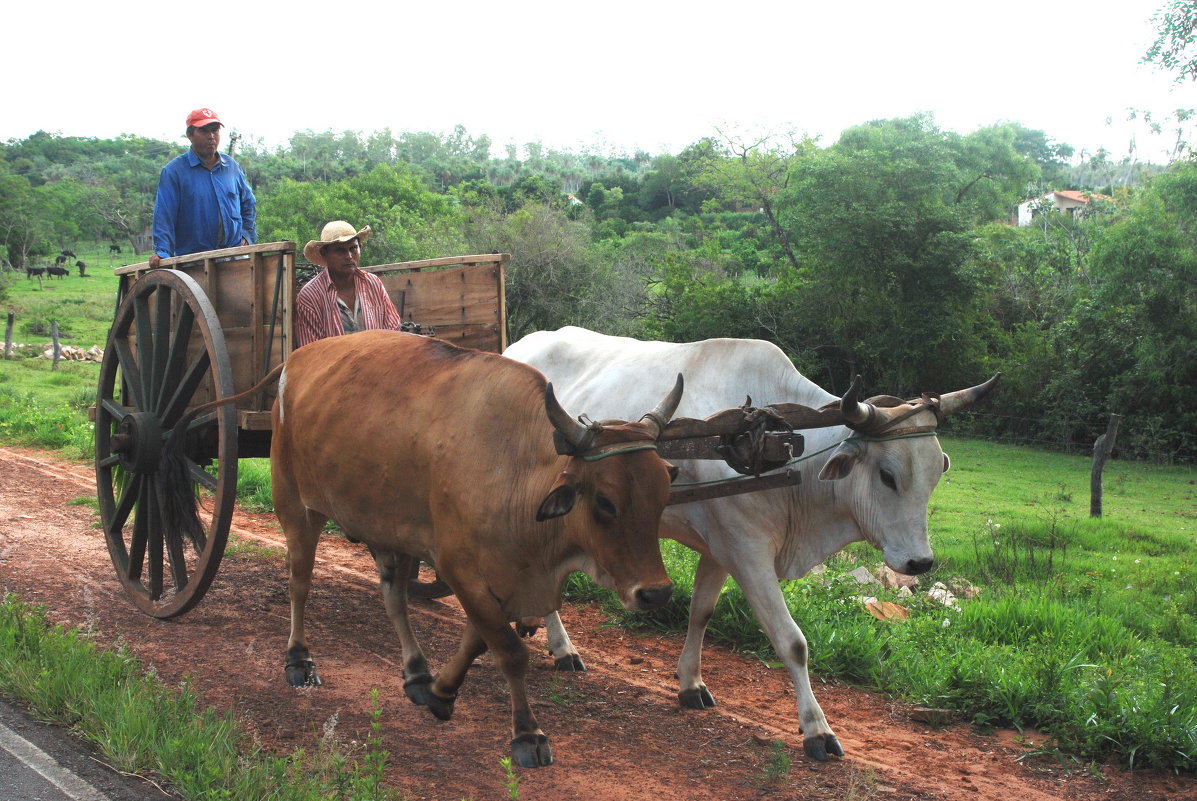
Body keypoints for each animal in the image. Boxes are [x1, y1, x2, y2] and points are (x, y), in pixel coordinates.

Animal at [271, 328, 684, 766]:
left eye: (664, 493)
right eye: (605, 501)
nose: (656, 593)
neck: (515, 471)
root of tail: (296, 359)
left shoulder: (503, 580)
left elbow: (479, 641)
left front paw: (440, 691)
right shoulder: (460, 569)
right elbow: (510, 650)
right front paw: (527, 734)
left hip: (388, 529)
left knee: (394, 597)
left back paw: (416, 671)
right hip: (295, 504)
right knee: (300, 582)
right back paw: (299, 659)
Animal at [505, 325, 1000, 761]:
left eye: (937, 473)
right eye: (887, 475)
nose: (919, 563)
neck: (779, 449)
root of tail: (516, 348)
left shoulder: (720, 550)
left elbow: (701, 613)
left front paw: (690, 684)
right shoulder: (748, 554)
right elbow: (792, 642)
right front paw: (818, 731)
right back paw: (561, 646)